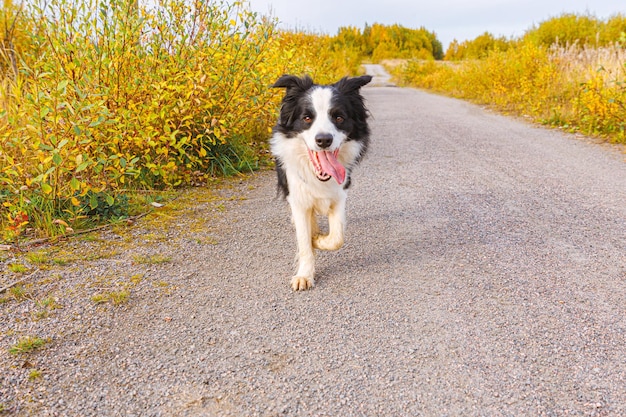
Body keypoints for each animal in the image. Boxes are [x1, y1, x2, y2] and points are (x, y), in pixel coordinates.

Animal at [270, 74, 370, 290]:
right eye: (307, 118)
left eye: (339, 117)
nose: (324, 140)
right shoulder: (297, 197)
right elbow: (303, 240)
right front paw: (304, 275)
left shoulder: (339, 193)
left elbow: (337, 237)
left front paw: (318, 240)